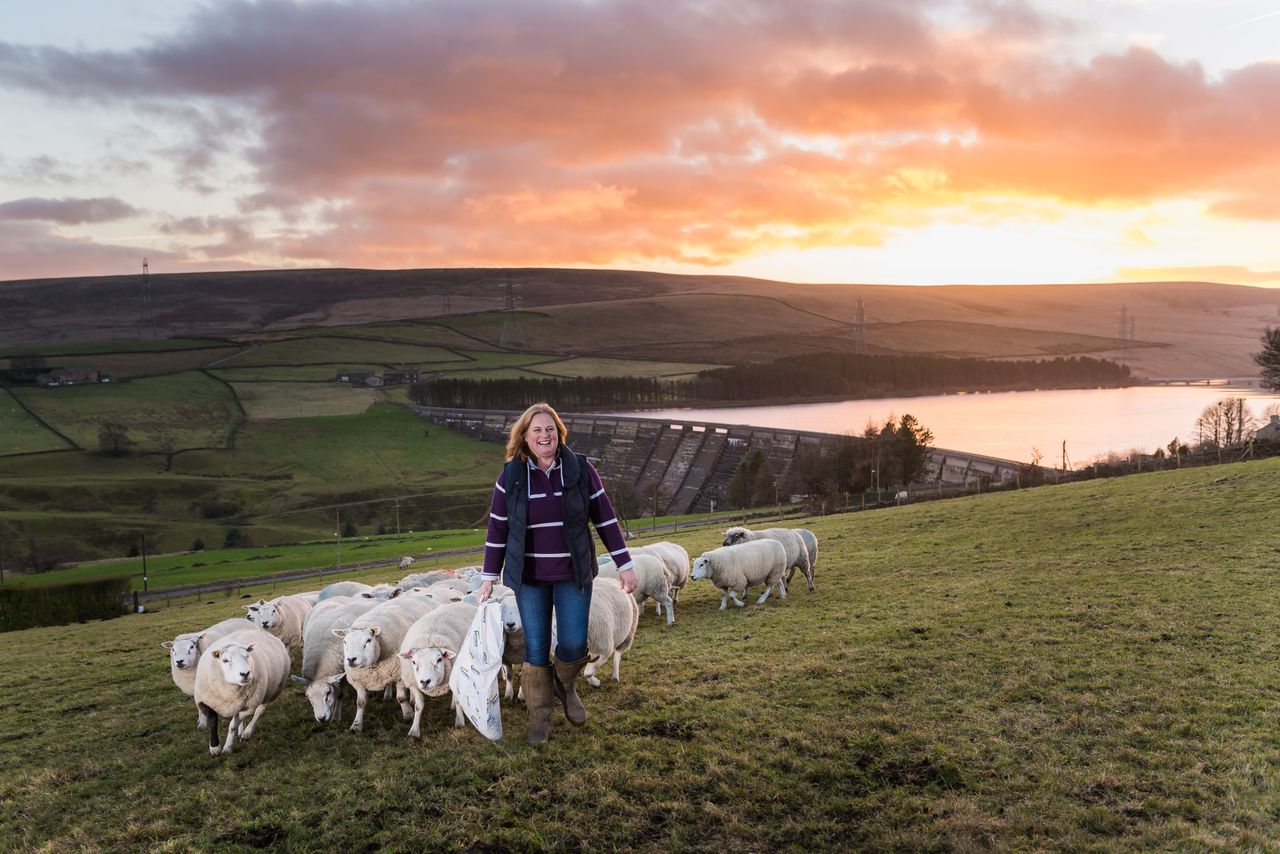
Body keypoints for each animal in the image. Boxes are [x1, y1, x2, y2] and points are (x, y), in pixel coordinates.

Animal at [293, 599, 378, 727]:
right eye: (308, 697)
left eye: (328, 693)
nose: (321, 718)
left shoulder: (344, 674)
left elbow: (340, 695)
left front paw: (337, 717)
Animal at [337, 594, 437, 737]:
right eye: (345, 641)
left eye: (368, 640)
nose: (351, 659)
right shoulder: (359, 680)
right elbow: (360, 703)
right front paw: (356, 725)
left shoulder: (400, 674)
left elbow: (401, 698)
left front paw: (408, 715)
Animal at [396, 604, 478, 737]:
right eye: (413, 662)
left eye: (439, 660)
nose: (425, 681)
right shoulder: (413, 683)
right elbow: (418, 706)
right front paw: (414, 731)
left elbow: (459, 701)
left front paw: (459, 722)